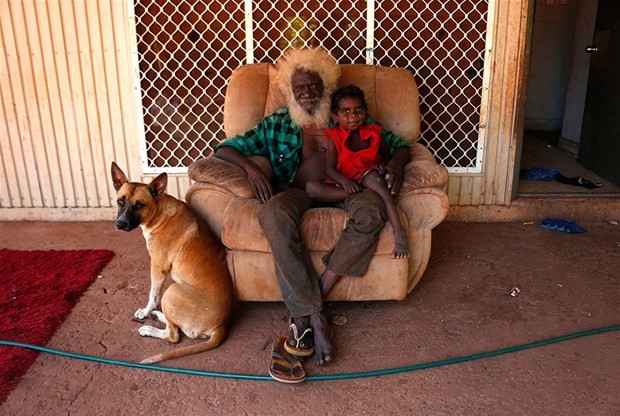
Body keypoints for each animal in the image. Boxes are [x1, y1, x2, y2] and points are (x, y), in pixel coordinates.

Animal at [110, 162, 234, 364]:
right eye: (120, 201)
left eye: (139, 205)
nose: (119, 224)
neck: (159, 212)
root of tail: (221, 326)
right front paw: (150, 312)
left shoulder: (157, 266)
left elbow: (153, 296)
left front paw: (146, 311)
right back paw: (158, 315)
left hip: (172, 291)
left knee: (173, 335)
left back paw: (149, 327)